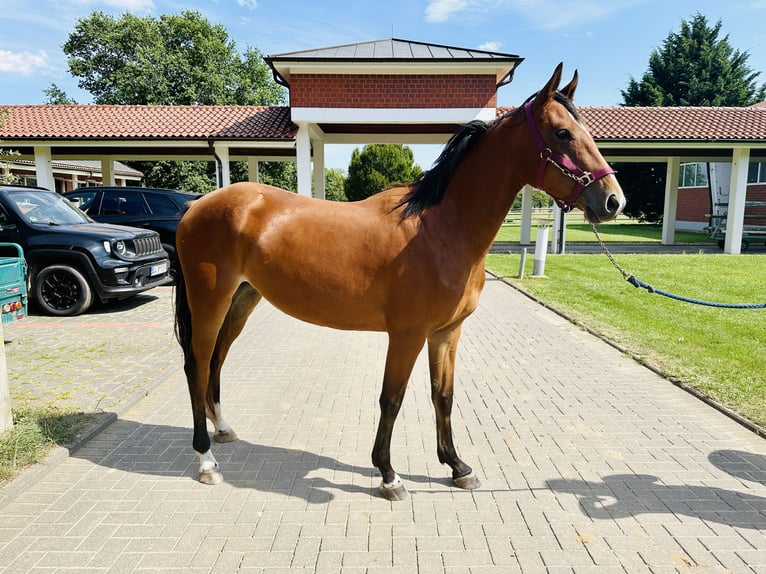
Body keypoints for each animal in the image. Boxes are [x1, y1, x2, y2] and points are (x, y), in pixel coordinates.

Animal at [174, 63, 626, 500]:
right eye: (563, 133)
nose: (613, 200)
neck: (441, 228)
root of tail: (197, 204)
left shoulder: (446, 332)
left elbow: (443, 395)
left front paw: (457, 467)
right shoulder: (407, 333)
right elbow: (392, 399)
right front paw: (389, 475)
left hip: (242, 300)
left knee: (216, 362)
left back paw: (223, 430)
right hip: (210, 300)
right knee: (197, 364)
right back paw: (206, 460)